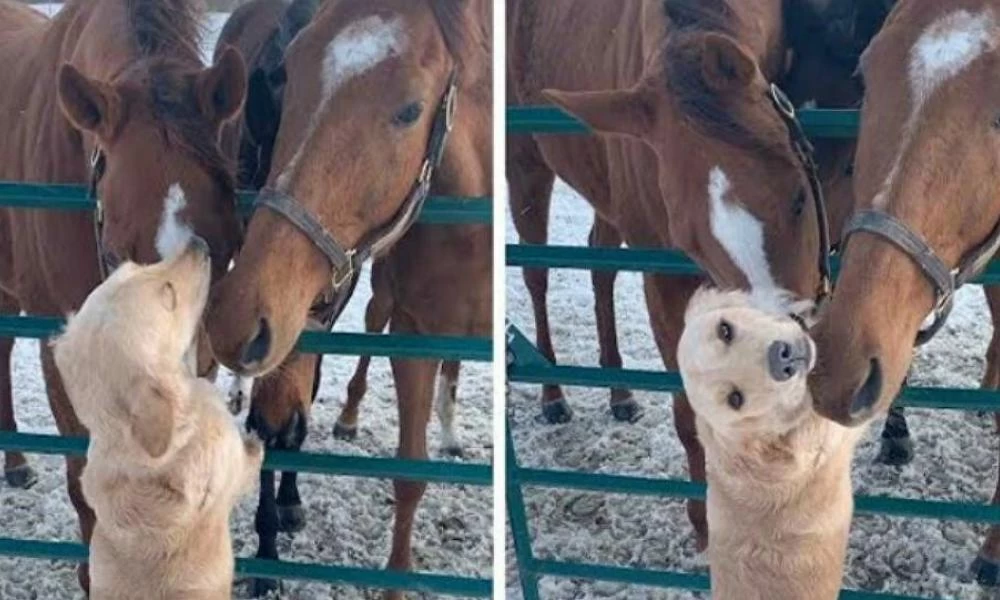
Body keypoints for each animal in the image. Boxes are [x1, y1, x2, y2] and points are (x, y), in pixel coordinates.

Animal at [53, 237, 262, 596]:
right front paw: (256, 443)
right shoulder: (228, 460)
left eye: (136, 266)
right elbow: (248, 461)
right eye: (169, 294)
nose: (198, 242)